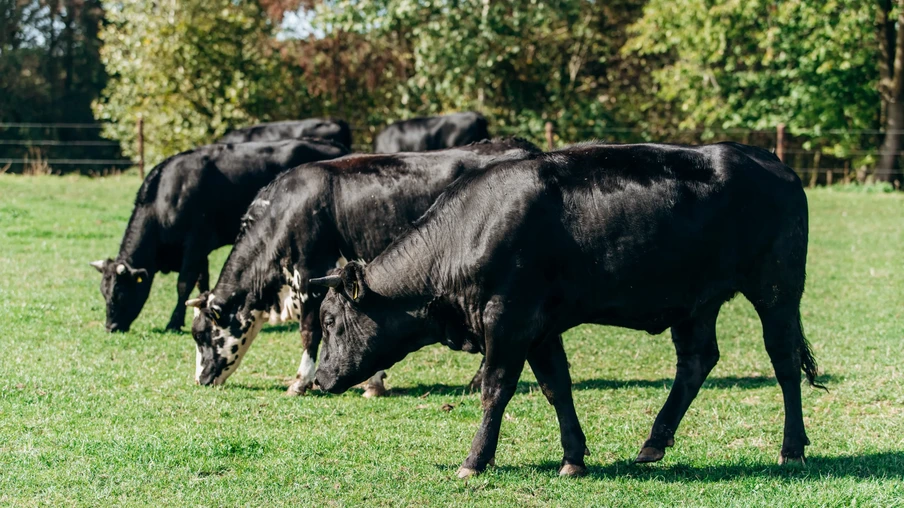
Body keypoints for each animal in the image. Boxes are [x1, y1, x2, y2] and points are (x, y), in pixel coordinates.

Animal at [90, 139, 349, 333]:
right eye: (103, 292)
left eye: (120, 293)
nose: (111, 327)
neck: (164, 197)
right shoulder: (200, 251)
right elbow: (201, 281)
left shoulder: (195, 242)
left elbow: (184, 283)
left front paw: (174, 322)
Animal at [185, 138, 541, 397]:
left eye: (202, 335)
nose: (200, 379)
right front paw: (373, 382)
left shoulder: (310, 275)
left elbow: (309, 332)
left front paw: (301, 382)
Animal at [308, 142, 824, 477]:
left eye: (331, 321)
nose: (319, 380)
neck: (471, 230)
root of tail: (772, 162)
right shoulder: (539, 328)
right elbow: (557, 387)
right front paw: (573, 457)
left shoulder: (508, 320)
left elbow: (496, 389)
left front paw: (475, 460)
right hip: (697, 302)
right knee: (697, 361)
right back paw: (654, 442)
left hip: (776, 291)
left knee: (783, 362)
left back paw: (792, 448)